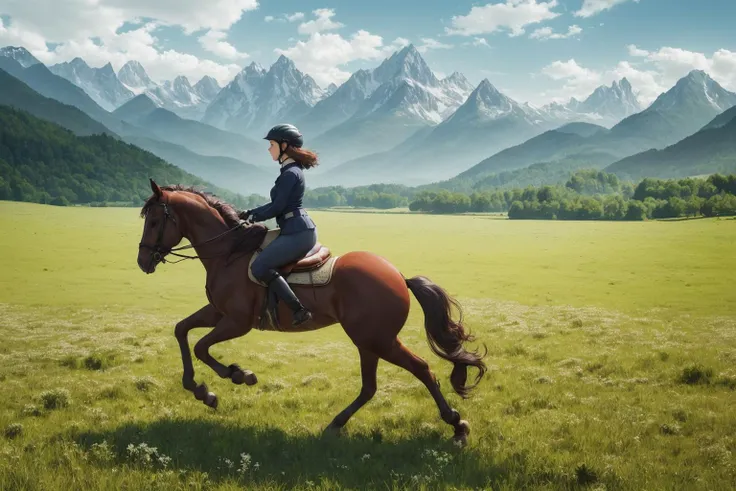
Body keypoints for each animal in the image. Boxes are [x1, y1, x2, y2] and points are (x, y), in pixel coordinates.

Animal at [137, 181, 488, 446]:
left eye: (154, 222)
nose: (142, 262)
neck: (228, 253)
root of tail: (399, 276)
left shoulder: (237, 322)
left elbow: (200, 346)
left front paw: (236, 376)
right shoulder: (217, 312)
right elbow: (182, 331)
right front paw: (200, 389)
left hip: (377, 339)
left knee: (422, 369)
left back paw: (457, 426)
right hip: (369, 341)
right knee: (370, 387)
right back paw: (336, 424)